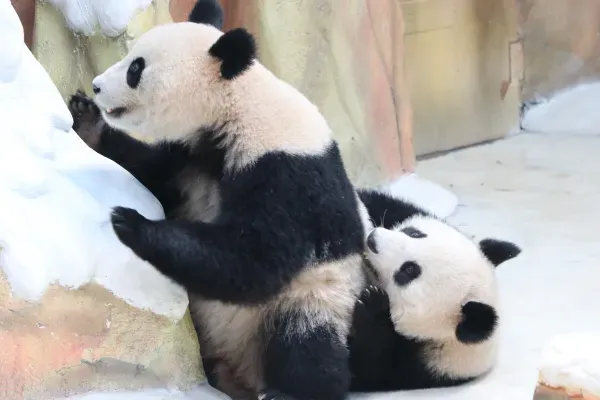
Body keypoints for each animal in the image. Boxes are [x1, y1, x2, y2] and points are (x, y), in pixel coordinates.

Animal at [66, 0, 376, 399]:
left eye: (137, 68)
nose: (97, 86)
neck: (235, 104)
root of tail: (242, 371)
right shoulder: (190, 154)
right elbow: (152, 173)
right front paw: (87, 120)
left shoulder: (289, 173)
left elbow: (255, 259)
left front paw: (132, 223)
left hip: (317, 296)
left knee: (306, 342)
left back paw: (288, 389)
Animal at [347, 193, 522, 392]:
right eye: (414, 233)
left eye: (409, 270)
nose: (372, 240)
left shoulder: (413, 370)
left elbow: (365, 368)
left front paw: (373, 306)